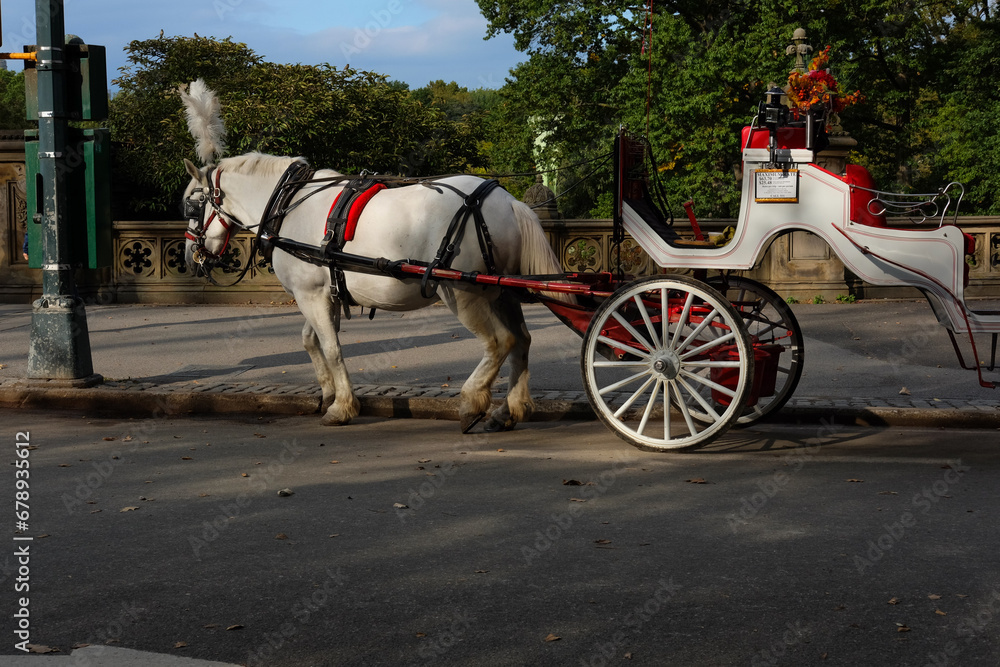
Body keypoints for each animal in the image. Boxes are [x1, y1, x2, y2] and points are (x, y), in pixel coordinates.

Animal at [181, 79, 572, 434]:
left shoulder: (311, 294)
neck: (288, 203)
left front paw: (341, 406)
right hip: (502, 290)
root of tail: (508, 201)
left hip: (463, 292)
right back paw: (510, 410)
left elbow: (332, 347)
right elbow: (312, 340)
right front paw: (328, 392)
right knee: (522, 340)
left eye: (190, 204)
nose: (189, 256)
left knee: (500, 341)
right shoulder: (323, 293)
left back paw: (472, 400)